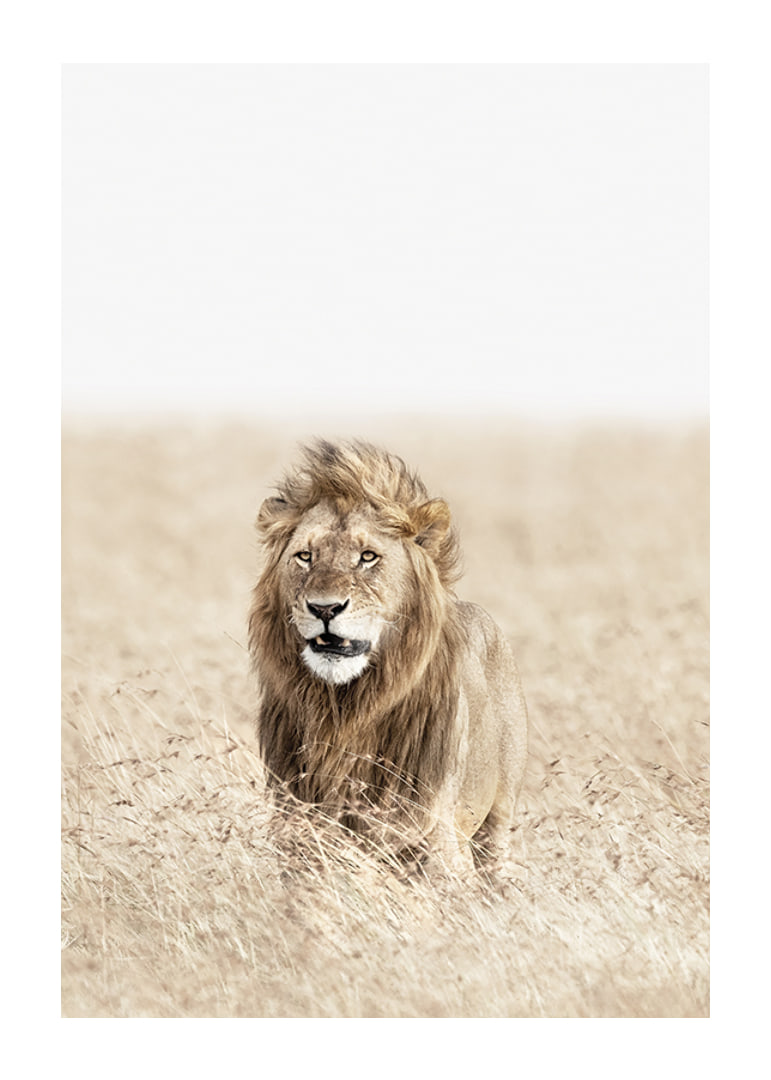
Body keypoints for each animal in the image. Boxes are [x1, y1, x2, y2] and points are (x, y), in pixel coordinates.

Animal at [248, 439, 528, 875]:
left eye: (367, 556)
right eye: (305, 556)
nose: (325, 608)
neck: (344, 710)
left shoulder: (435, 836)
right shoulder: (297, 829)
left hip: (499, 820)